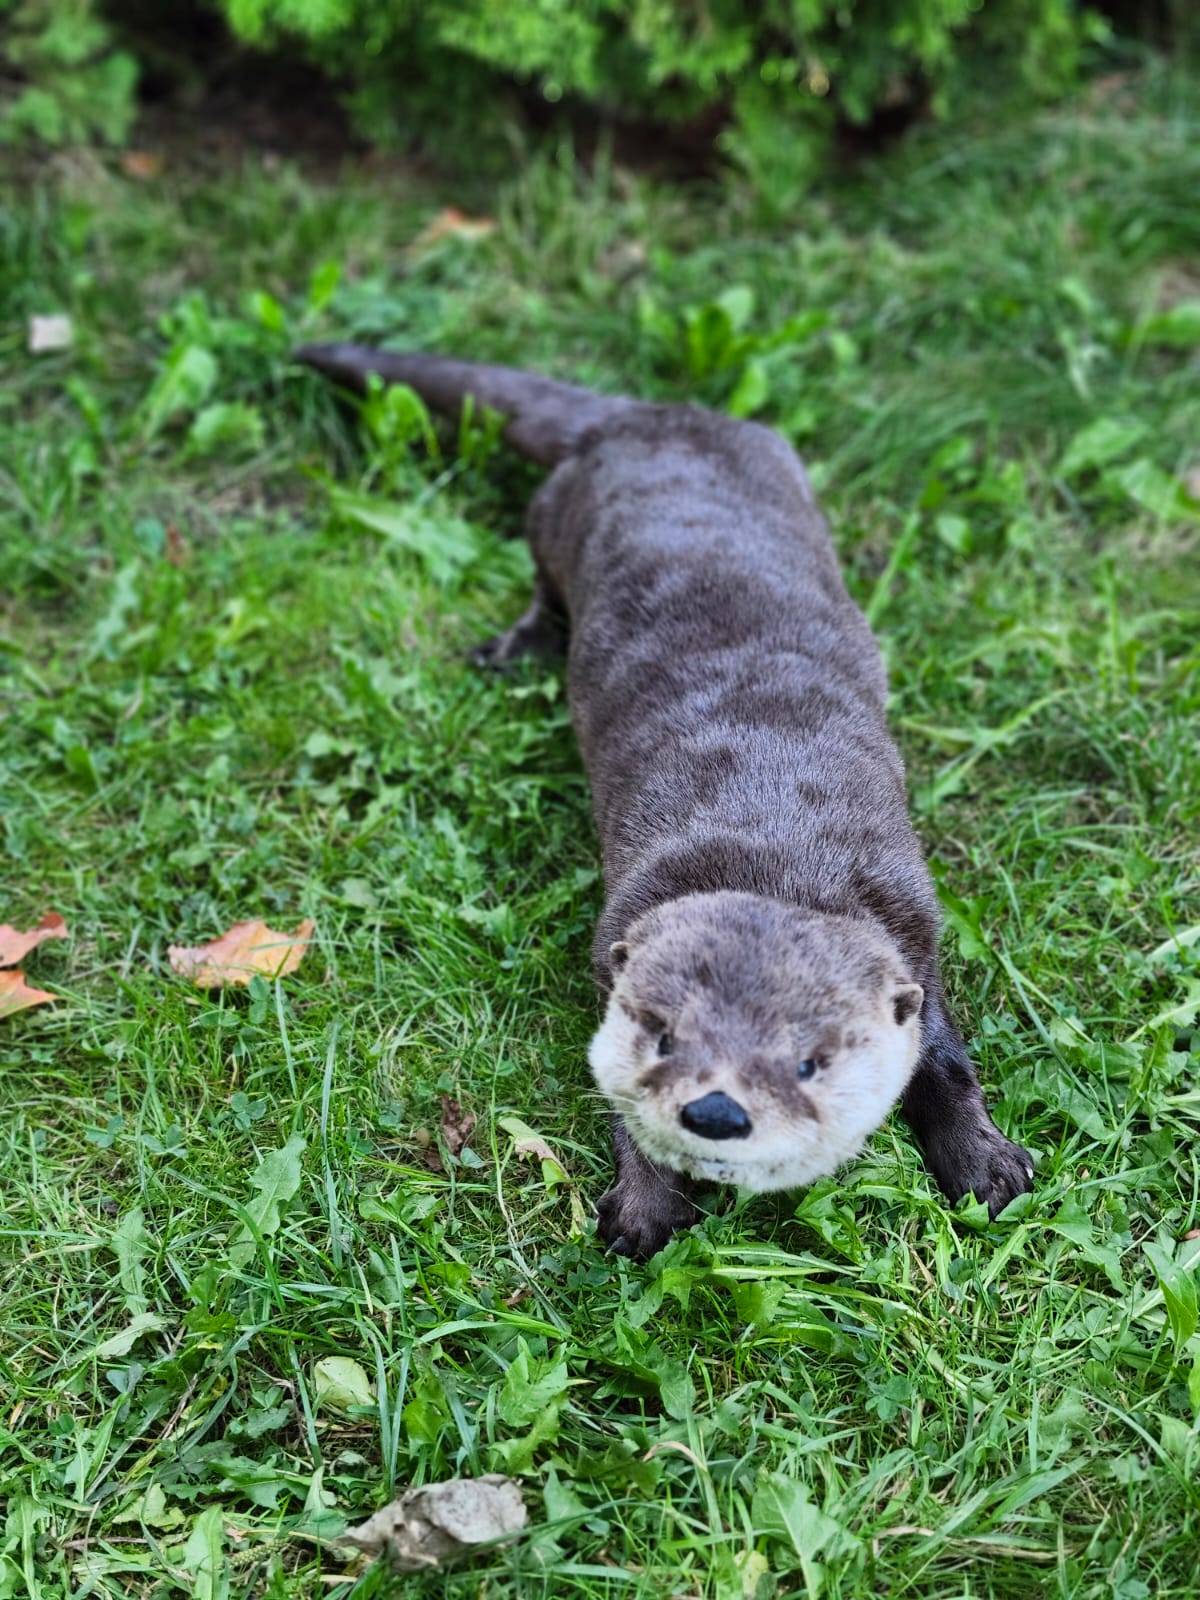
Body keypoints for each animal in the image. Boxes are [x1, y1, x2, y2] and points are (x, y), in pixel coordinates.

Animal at [295, 343, 1034, 1259]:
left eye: (808, 1062)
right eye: (664, 1036)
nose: (715, 1111)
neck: (774, 846)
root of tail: (647, 415)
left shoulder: (912, 941)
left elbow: (945, 1062)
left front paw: (985, 1164)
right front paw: (646, 1209)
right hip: (550, 522)